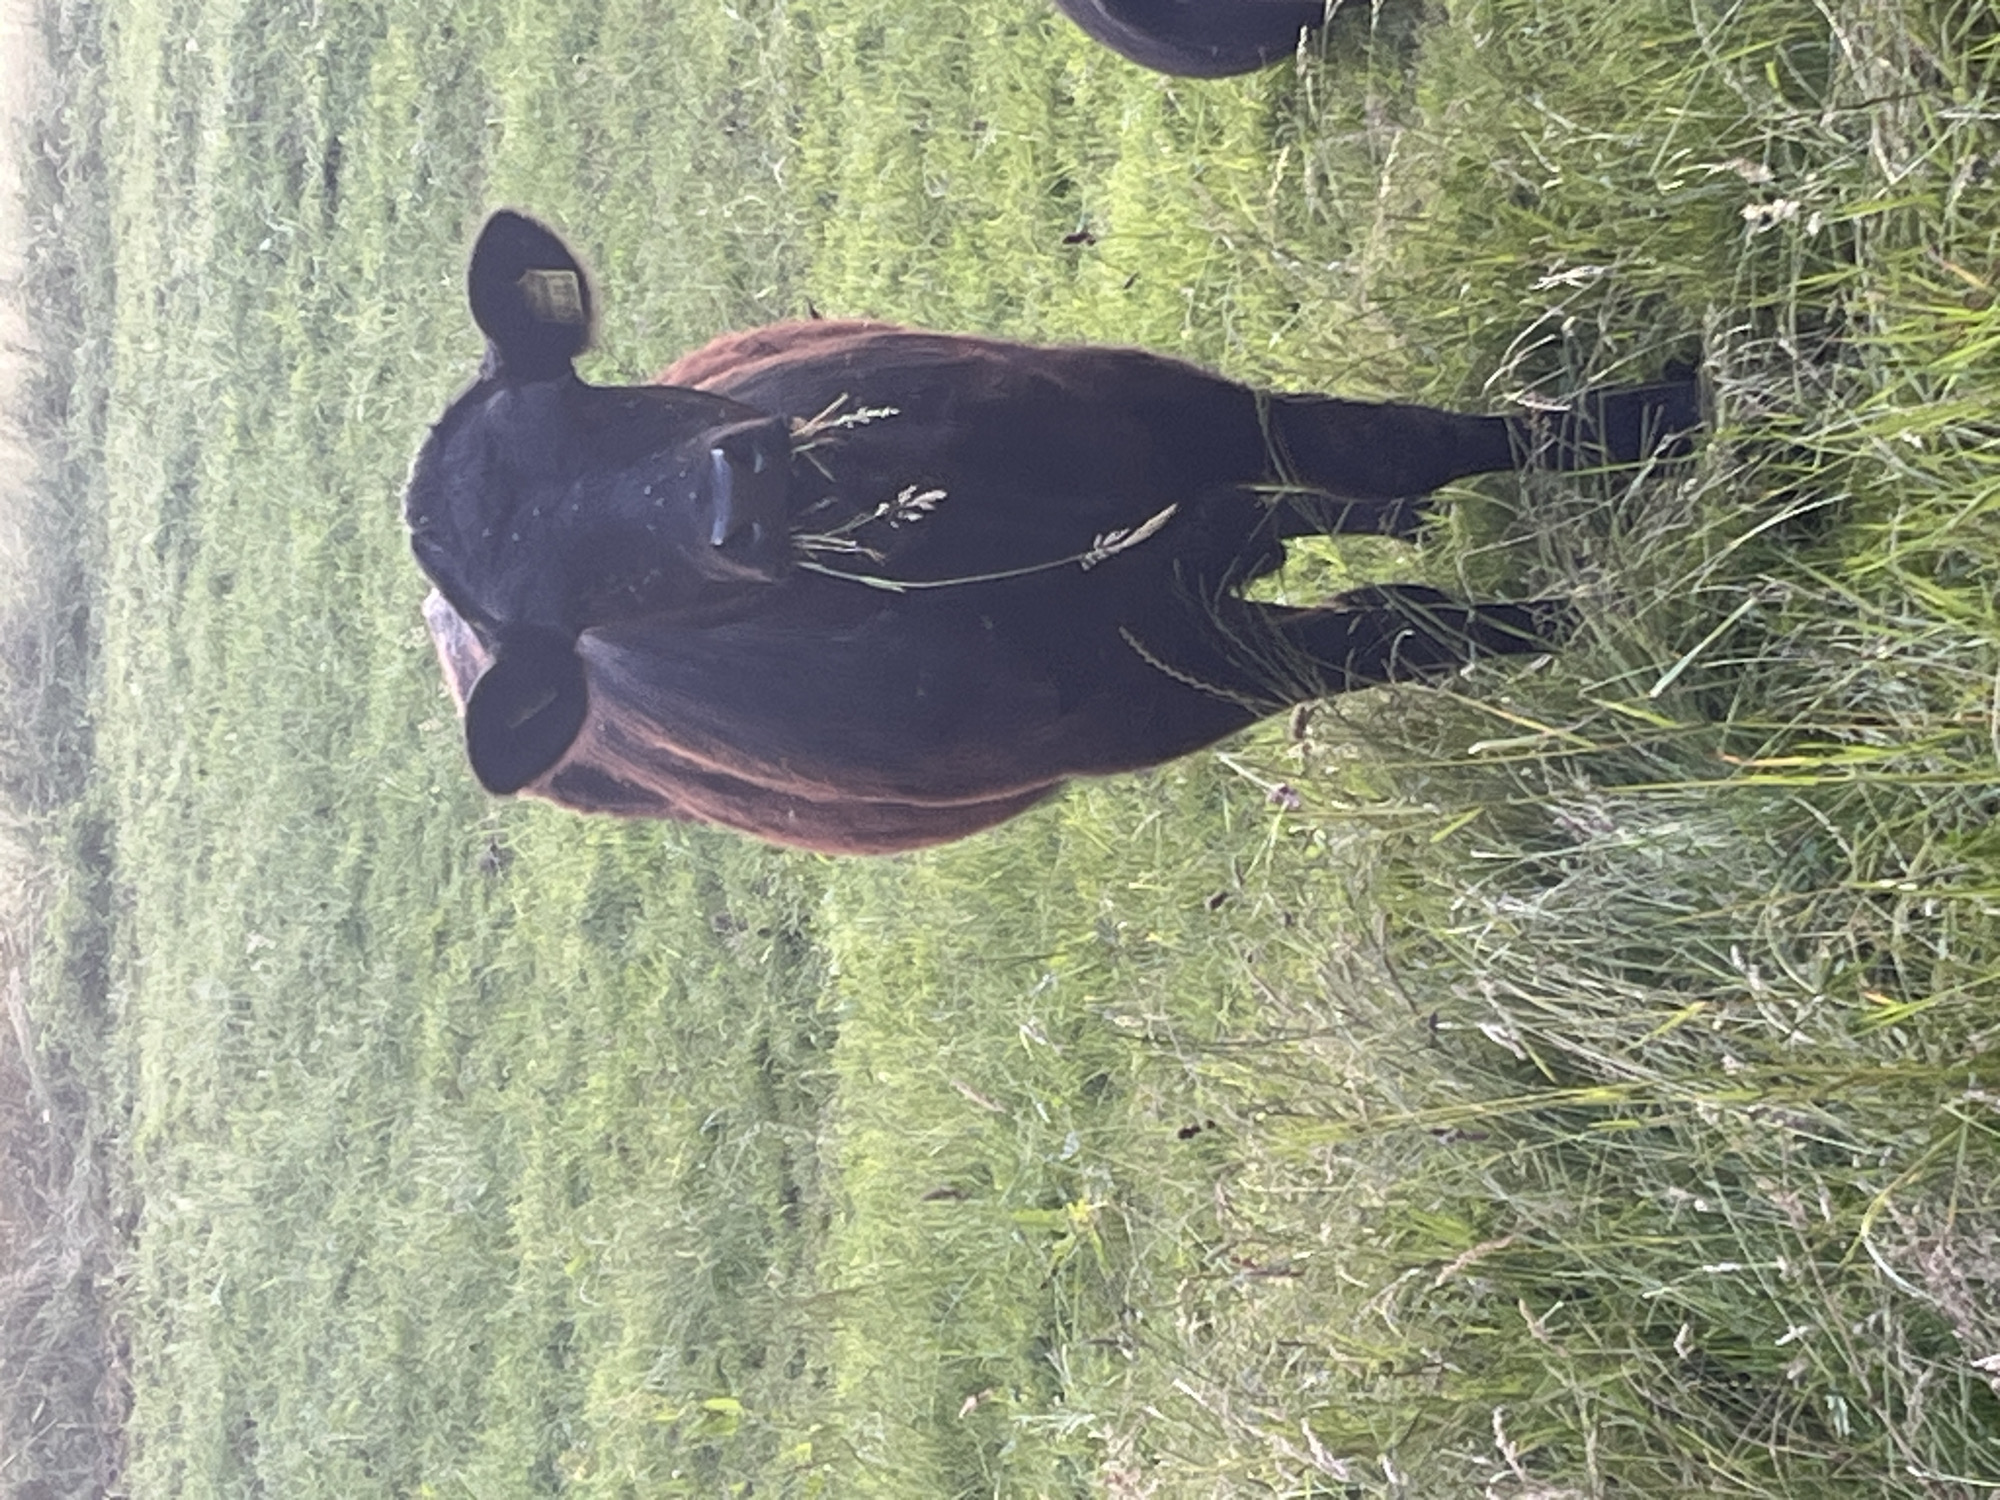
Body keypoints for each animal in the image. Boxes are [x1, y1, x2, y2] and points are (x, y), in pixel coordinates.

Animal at [406, 211, 1698, 854]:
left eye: (589, 404)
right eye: (585, 606)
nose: (741, 490)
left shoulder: (1181, 411)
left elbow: (1402, 444)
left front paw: (1663, 420)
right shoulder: (1171, 686)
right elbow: (1404, 636)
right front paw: (1626, 628)